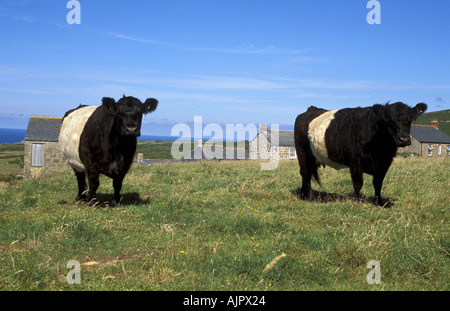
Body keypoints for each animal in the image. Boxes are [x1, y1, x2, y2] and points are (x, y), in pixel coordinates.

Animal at [294, 101, 428, 206]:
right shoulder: (355, 162)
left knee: (307, 174)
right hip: (302, 154)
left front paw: (378, 203)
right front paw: (356, 201)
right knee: (305, 173)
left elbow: (378, 184)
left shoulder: (384, 164)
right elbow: (358, 183)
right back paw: (310, 198)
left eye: (410, 120)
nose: (403, 139)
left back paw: (303, 195)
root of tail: (310, 110)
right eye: (389, 120)